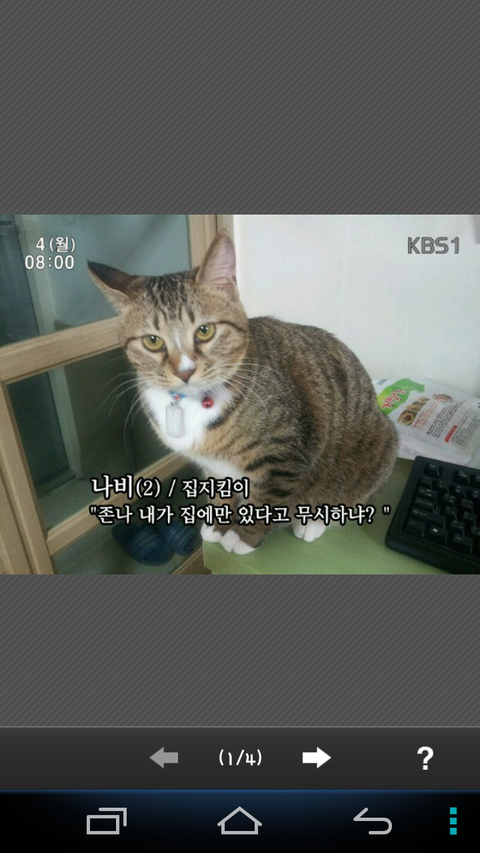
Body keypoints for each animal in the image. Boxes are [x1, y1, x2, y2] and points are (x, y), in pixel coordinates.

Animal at [88, 231, 398, 555]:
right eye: (152, 341)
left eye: (205, 331)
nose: (184, 372)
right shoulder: (214, 468)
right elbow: (220, 494)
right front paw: (218, 524)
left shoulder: (284, 454)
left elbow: (265, 500)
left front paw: (243, 537)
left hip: (375, 449)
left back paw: (312, 521)